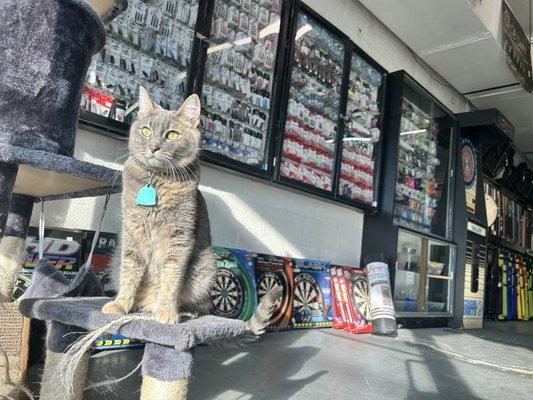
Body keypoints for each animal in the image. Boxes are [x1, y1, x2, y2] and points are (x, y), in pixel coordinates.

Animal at [102, 87, 280, 332]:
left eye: (172, 135)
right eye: (146, 131)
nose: (153, 147)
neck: (156, 181)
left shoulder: (179, 238)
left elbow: (171, 277)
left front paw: (166, 310)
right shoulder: (132, 235)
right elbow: (129, 273)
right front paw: (121, 304)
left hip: (206, 265)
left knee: (199, 304)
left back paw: (180, 311)